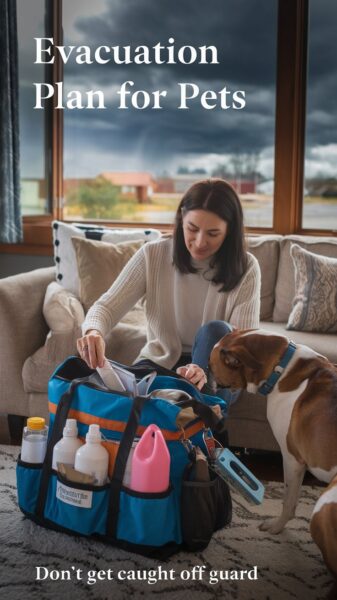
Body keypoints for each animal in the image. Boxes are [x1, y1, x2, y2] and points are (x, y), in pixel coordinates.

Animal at [209, 330, 336, 580]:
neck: (282, 368)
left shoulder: (292, 459)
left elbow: (288, 500)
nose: (203, 375)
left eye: (211, 366)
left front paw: (277, 527)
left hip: (323, 506)